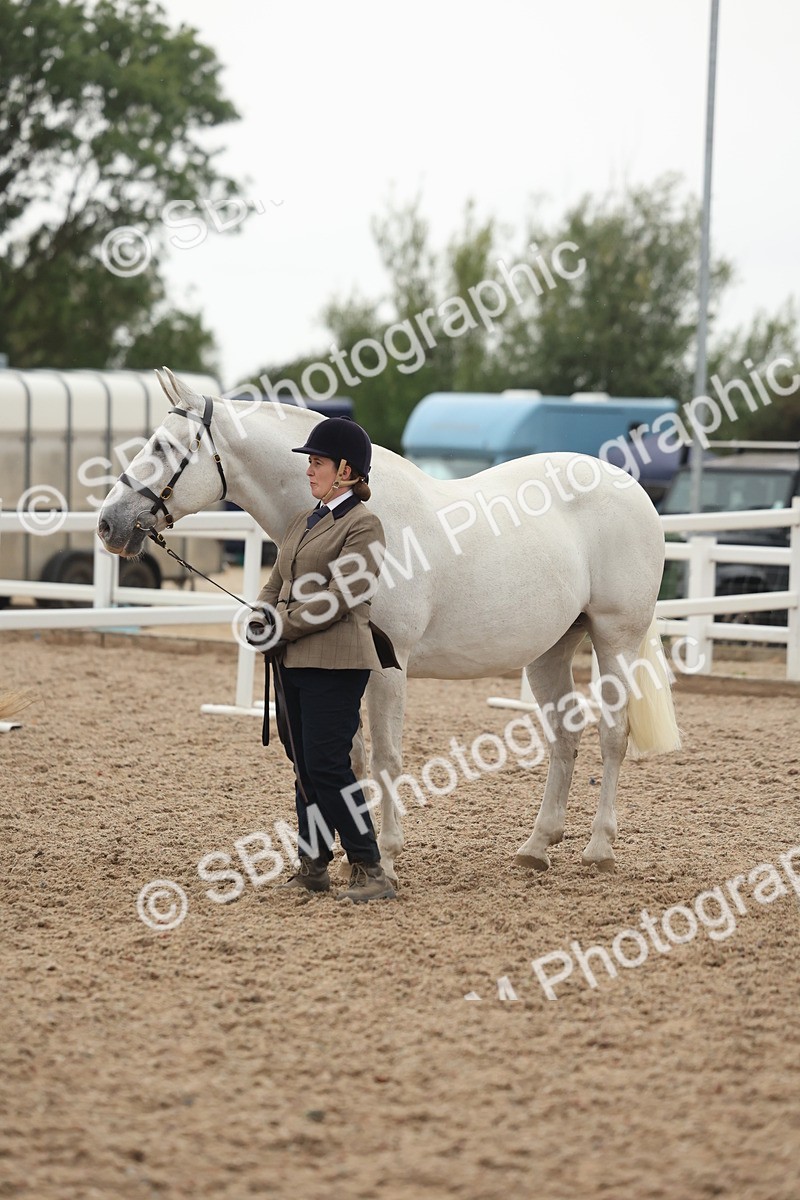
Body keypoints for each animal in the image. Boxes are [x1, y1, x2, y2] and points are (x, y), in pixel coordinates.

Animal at [97, 368, 680, 880]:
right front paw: (344, 858)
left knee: (612, 735)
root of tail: (632, 489)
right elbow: (349, 758)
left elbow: (386, 759)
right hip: (551, 650)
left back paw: (599, 849)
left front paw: (389, 857)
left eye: (162, 448)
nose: (108, 524)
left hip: (615, 639)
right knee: (565, 737)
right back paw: (537, 847)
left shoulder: (388, 664)